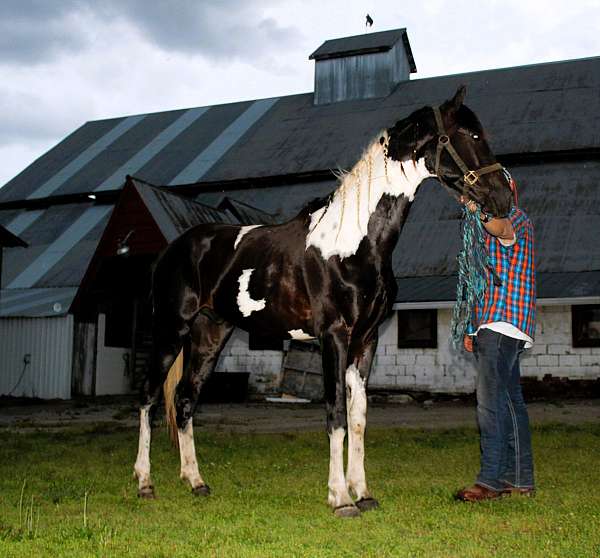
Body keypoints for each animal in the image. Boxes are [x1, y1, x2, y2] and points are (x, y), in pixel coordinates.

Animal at [134, 85, 512, 520]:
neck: (354, 242)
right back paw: (145, 483)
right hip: (170, 329)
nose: (504, 197)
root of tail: (173, 249)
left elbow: (359, 417)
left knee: (185, 399)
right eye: (471, 136)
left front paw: (363, 492)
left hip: (211, 334)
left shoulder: (366, 342)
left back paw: (195, 482)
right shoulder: (334, 337)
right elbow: (335, 413)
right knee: (148, 396)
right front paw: (340, 498)